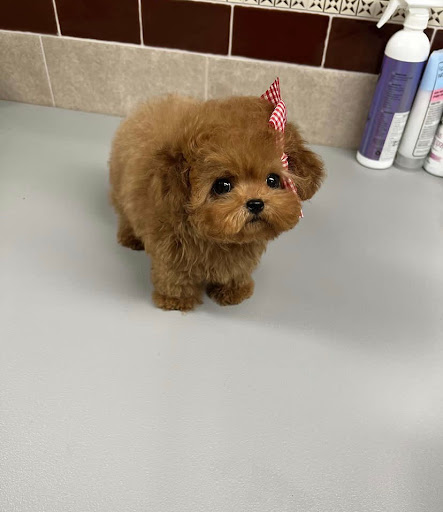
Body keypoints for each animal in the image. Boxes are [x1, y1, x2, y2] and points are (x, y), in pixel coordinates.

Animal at [109, 90, 324, 311]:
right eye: (222, 185)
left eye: (272, 180)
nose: (255, 203)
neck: (218, 239)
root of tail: (149, 106)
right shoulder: (169, 248)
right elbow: (174, 274)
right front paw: (177, 299)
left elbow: (236, 269)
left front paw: (232, 290)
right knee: (125, 215)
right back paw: (131, 238)